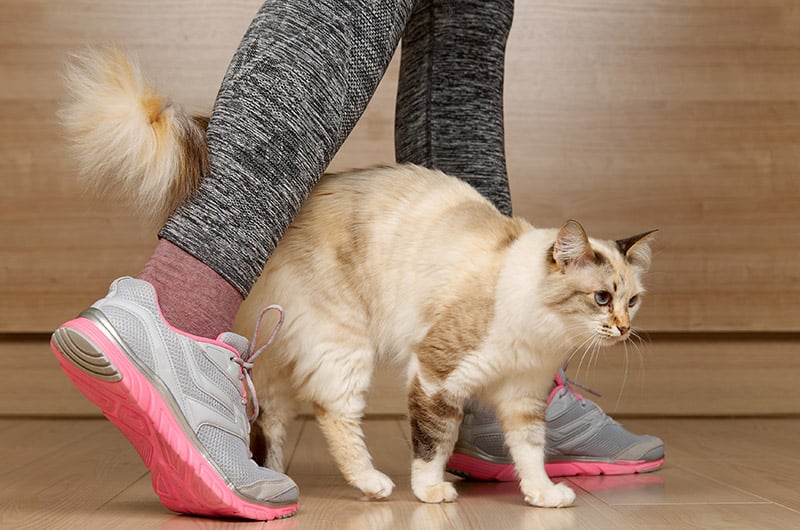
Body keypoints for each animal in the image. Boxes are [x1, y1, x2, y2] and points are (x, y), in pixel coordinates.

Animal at [59, 47, 652, 506]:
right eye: (601, 298)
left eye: (632, 301)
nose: (624, 330)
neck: (540, 332)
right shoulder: (436, 374)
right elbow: (433, 444)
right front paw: (431, 493)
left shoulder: (522, 399)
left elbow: (530, 454)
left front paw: (543, 496)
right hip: (344, 344)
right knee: (333, 414)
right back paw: (366, 484)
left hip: (283, 356)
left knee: (272, 418)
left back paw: (273, 475)